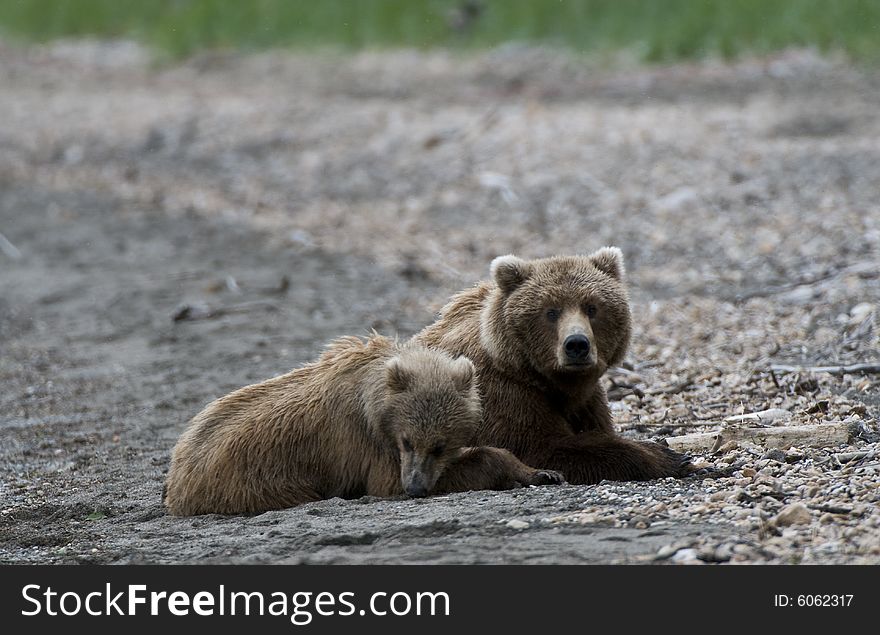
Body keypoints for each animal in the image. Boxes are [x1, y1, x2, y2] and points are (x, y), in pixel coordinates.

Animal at [163, 336, 564, 516]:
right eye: (408, 441)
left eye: (440, 444)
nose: (416, 488)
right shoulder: (363, 441)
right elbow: (385, 481)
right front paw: (531, 472)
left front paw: (544, 472)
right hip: (257, 481)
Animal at [414, 247, 696, 482]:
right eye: (551, 311)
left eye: (592, 307)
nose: (577, 344)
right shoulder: (501, 394)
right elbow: (541, 447)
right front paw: (670, 457)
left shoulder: (586, 400)